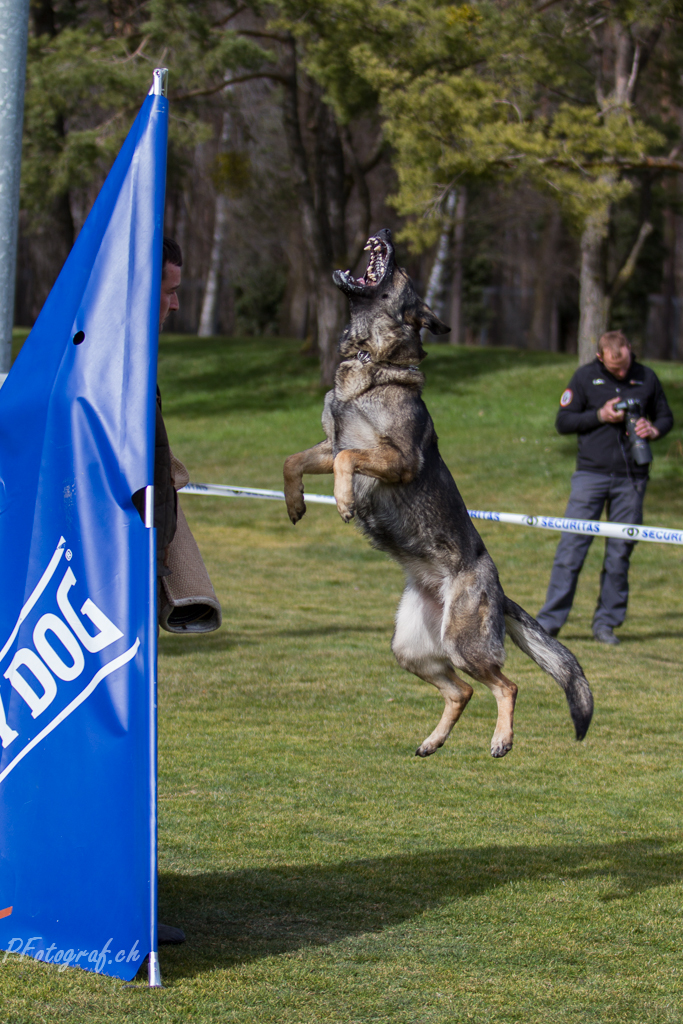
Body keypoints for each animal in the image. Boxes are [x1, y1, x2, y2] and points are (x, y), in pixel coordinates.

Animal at [282, 232, 593, 761]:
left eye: (402, 271)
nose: (386, 233)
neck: (371, 359)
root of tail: (499, 591)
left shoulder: (395, 458)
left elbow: (347, 463)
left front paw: (343, 502)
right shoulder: (330, 445)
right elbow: (293, 461)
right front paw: (295, 502)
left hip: (465, 643)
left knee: (506, 686)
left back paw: (502, 739)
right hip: (412, 649)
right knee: (463, 691)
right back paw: (434, 741)